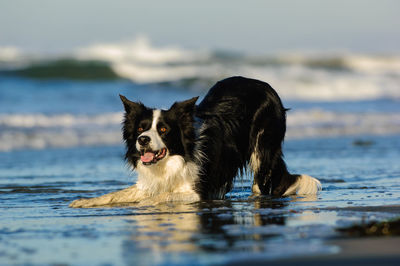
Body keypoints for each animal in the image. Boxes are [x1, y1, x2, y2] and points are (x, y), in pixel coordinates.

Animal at [70, 76, 322, 207]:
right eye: (141, 128)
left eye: (163, 129)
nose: (142, 140)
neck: (173, 160)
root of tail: (265, 85)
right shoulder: (148, 183)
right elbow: (116, 194)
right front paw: (84, 201)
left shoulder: (197, 190)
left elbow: (164, 195)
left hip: (262, 149)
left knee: (261, 183)